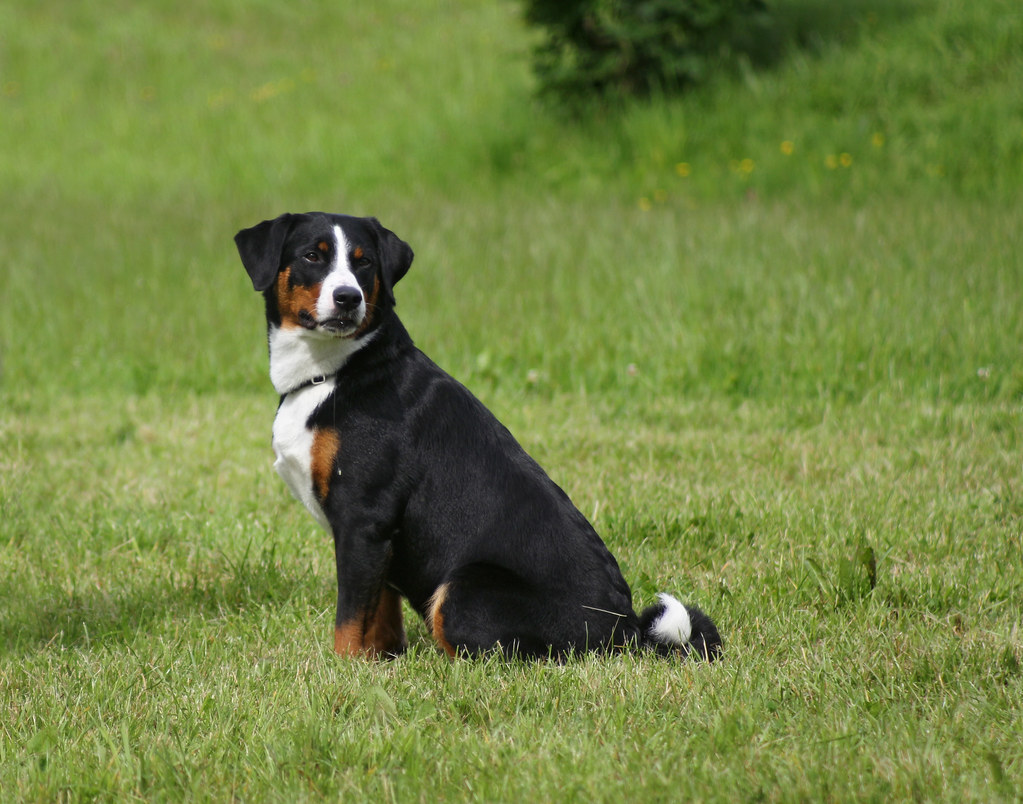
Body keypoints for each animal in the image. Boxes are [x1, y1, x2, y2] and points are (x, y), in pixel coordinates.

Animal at [235, 211, 724, 658]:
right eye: (312, 256)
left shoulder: (363, 520)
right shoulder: (381, 539)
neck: (333, 373)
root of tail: (626, 630)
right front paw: (383, 663)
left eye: (364, 262)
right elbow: (379, 617)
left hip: (462, 588)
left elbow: (350, 620)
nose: (347, 298)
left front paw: (345, 673)